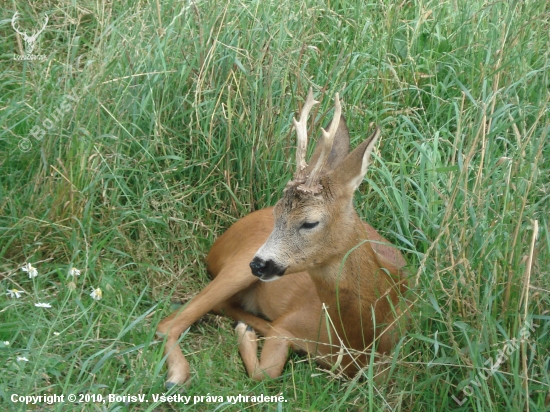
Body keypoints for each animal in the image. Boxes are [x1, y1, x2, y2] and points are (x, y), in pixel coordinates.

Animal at [157, 87, 408, 386]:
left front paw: (247, 332)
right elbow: (266, 373)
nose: (259, 264)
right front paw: (246, 337)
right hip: (237, 266)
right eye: (278, 211)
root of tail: (219, 242)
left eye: (310, 222)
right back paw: (180, 372)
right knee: (168, 323)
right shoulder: (289, 324)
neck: (358, 338)